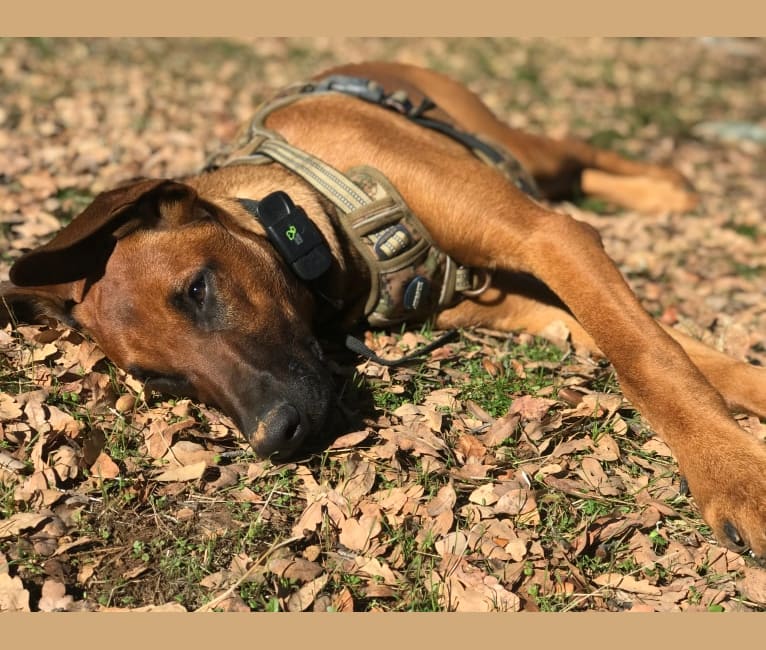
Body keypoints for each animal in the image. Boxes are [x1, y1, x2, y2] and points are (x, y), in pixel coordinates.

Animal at [1, 62, 766, 556]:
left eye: (198, 290)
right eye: (160, 380)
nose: (275, 437)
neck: (320, 217)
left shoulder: (550, 238)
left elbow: (649, 357)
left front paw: (736, 480)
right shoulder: (516, 301)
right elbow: (673, 349)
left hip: (512, 147)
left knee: (576, 154)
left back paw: (667, 190)